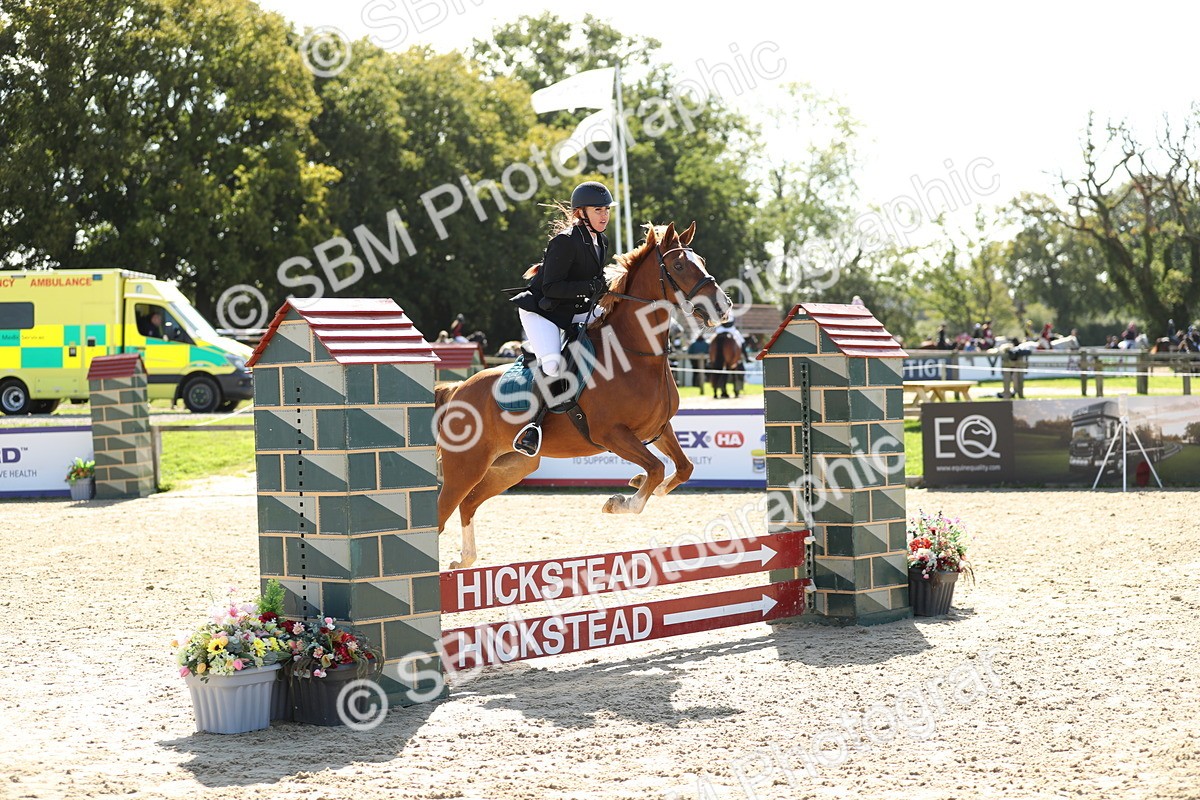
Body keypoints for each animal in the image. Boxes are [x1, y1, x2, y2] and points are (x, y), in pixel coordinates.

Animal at [434, 221, 732, 569]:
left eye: (702, 261)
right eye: (679, 266)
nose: (723, 306)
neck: (635, 353)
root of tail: (457, 389)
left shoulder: (658, 429)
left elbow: (683, 468)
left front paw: (639, 484)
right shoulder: (612, 434)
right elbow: (656, 468)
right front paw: (618, 502)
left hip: (512, 466)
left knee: (468, 503)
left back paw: (464, 560)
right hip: (465, 465)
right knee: (442, 512)